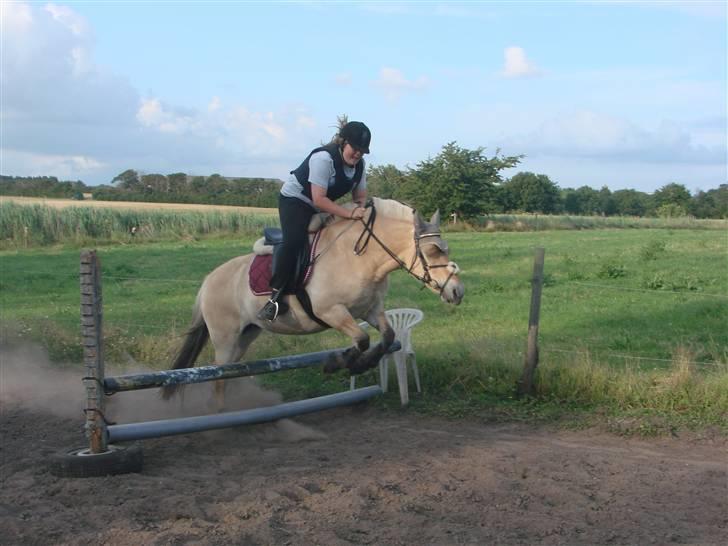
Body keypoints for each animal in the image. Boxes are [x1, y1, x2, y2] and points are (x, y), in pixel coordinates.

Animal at [162, 196, 464, 404]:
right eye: (433, 251)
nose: (457, 292)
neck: (360, 258)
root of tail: (208, 281)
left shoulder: (370, 309)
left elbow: (387, 336)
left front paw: (360, 363)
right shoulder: (330, 311)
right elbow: (361, 339)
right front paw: (339, 362)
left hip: (246, 336)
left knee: (229, 374)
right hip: (225, 338)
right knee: (219, 377)